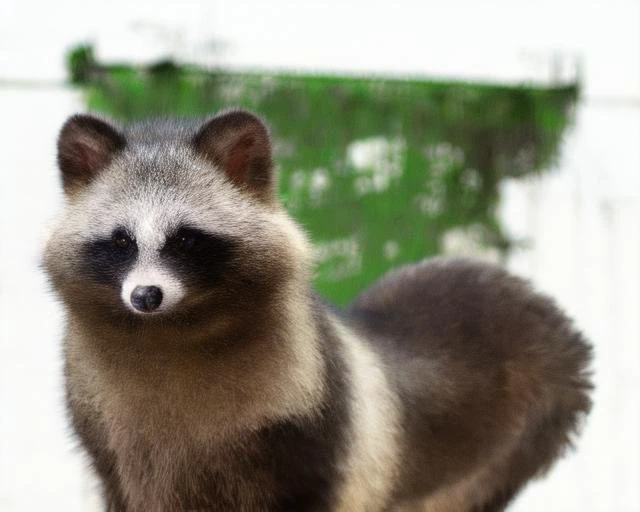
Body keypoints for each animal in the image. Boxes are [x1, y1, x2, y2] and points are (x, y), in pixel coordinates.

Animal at [43, 109, 596, 512]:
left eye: (186, 240)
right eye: (121, 241)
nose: (145, 296)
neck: (172, 332)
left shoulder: (310, 434)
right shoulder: (111, 451)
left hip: (520, 438)